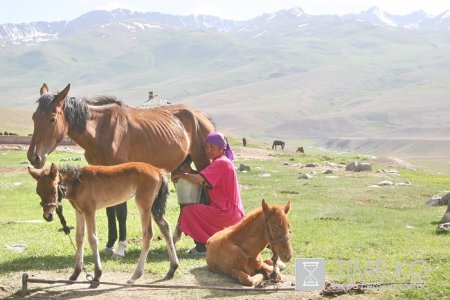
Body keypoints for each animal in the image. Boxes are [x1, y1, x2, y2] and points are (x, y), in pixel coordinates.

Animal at [26, 82, 214, 251]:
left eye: (52, 119)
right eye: (34, 118)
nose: (34, 157)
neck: (101, 130)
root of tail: (202, 117)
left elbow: (121, 211)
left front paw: (121, 247)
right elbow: (110, 210)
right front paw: (110, 244)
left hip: (202, 161)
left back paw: (201, 244)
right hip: (182, 167)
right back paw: (181, 240)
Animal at [27, 163, 179, 288]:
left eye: (53, 191)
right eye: (38, 192)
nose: (48, 216)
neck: (78, 182)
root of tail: (158, 171)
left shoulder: (90, 211)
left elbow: (92, 239)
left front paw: (97, 276)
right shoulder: (79, 212)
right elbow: (79, 238)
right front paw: (75, 274)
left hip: (144, 205)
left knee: (148, 234)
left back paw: (135, 276)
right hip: (154, 207)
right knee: (165, 227)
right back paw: (172, 269)